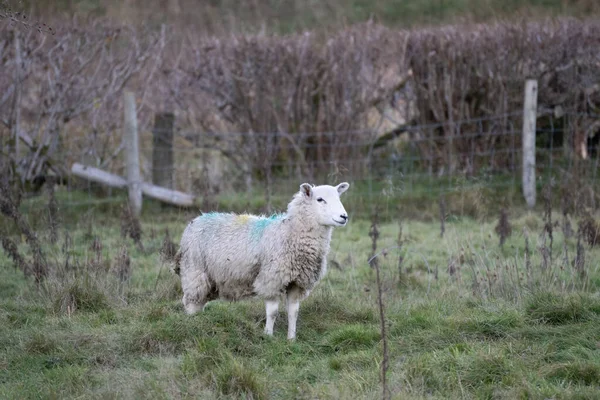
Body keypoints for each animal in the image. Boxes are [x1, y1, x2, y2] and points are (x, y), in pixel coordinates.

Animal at [173, 183, 350, 340]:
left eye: (338, 197)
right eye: (320, 199)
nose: (344, 217)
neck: (289, 233)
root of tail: (196, 220)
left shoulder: (296, 282)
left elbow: (293, 312)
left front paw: (291, 339)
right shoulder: (272, 279)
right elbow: (272, 312)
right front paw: (268, 336)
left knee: (199, 302)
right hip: (194, 271)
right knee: (191, 302)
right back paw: (193, 325)